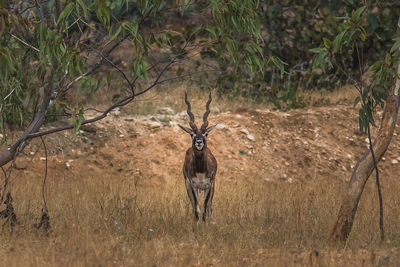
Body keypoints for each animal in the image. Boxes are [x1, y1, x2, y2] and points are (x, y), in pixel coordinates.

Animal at [179, 92, 217, 222]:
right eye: (192, 134)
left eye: (206, 134)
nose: (199, 142)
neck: (200, 170)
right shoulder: (191, 185)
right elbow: (196, 208)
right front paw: (197, 223)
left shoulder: (209, 185)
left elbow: (205, 207)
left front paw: (205, 223)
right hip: (188, 186)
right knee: (194, 206)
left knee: (210, 206)